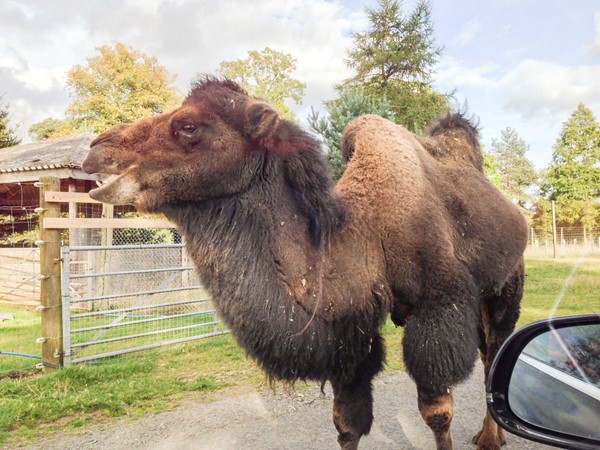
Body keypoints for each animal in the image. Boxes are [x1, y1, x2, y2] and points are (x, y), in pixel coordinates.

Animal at [83, 77, 524, 450]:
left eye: (189, 126)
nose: (95, 148)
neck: (366, 235)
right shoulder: (350, 335)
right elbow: (348, 423)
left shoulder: (438, 311)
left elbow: (437, 414)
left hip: (506, 285)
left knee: (495, 354)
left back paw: (491, 437)